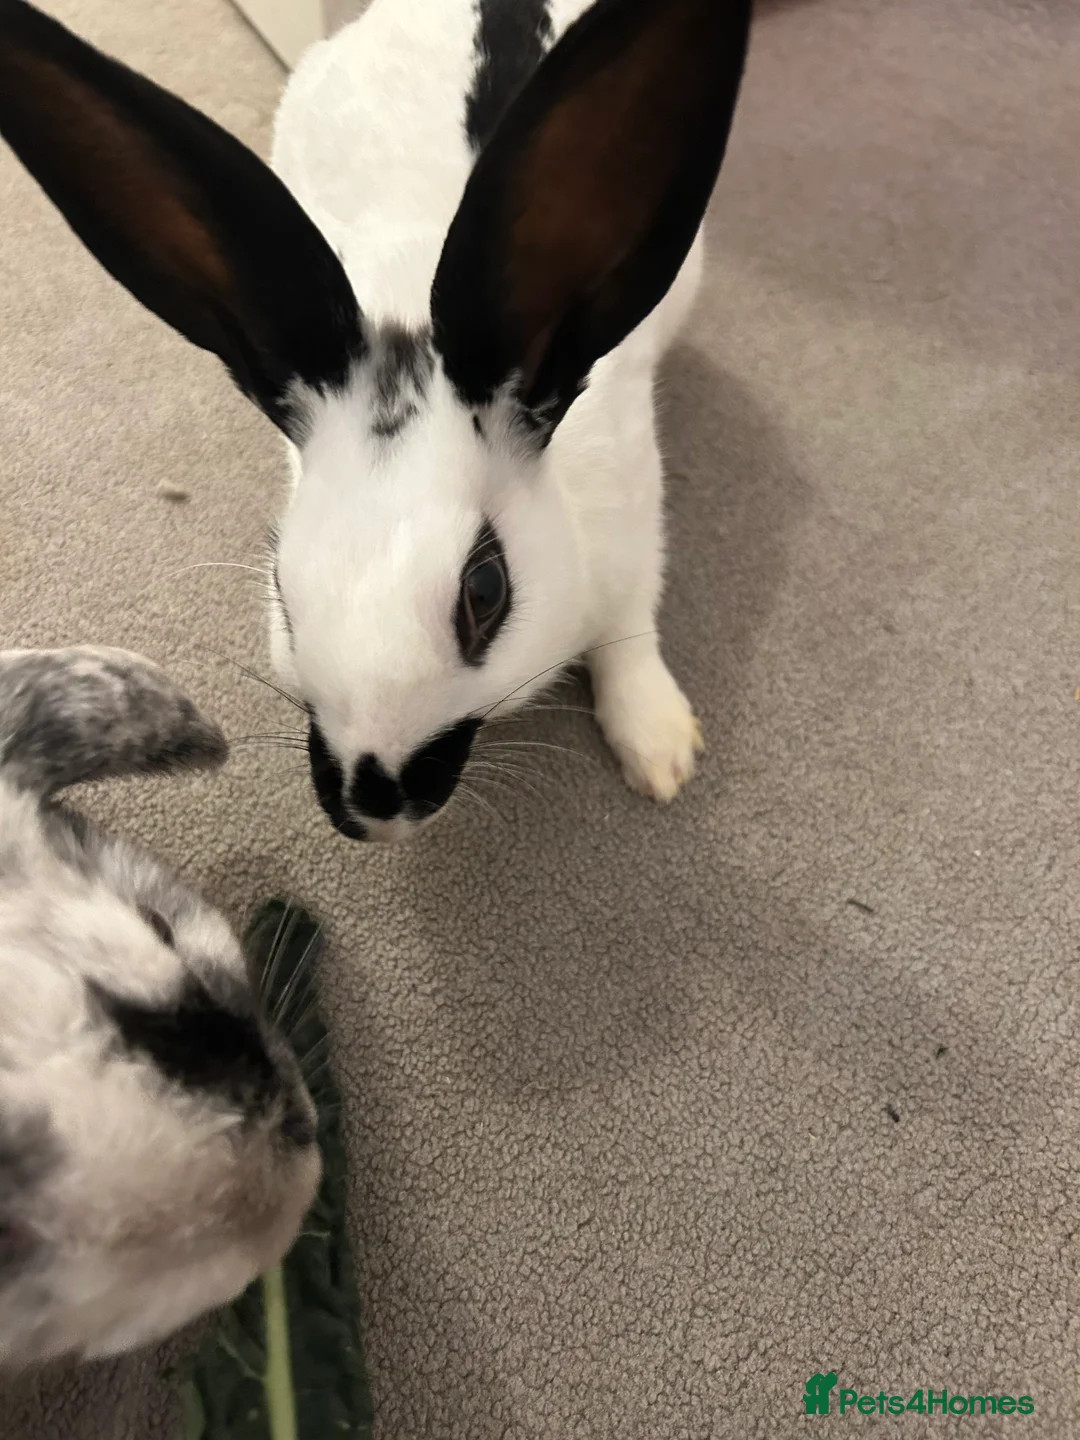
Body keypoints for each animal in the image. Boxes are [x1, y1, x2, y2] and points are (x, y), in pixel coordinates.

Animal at [0, 0, 753, 844]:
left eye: (485, 591)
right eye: (282, 585)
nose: (371, 808)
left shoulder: (633, 522)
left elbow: (631, 636)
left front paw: (660, 752)